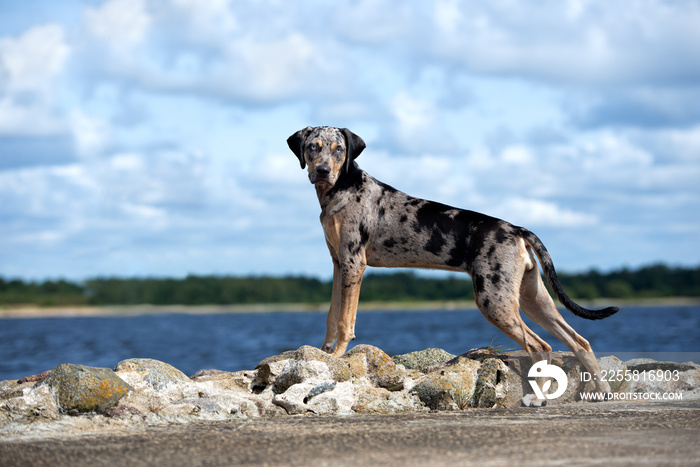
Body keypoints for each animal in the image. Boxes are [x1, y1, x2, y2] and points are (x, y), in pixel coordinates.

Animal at [284, 125, 616, 402]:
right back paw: (602, 391)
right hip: (531, 296)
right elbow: (331, 314)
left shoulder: (353, 262)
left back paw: (538, 398)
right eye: (312, 147)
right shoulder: (338, 263)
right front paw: (324, 351)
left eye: (338, 149)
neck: (341, 189)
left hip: (494, 300)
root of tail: (517, 230)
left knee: (541, 346)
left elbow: (345, 320)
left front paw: (338, 355)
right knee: (579, 341)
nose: (323, 170)